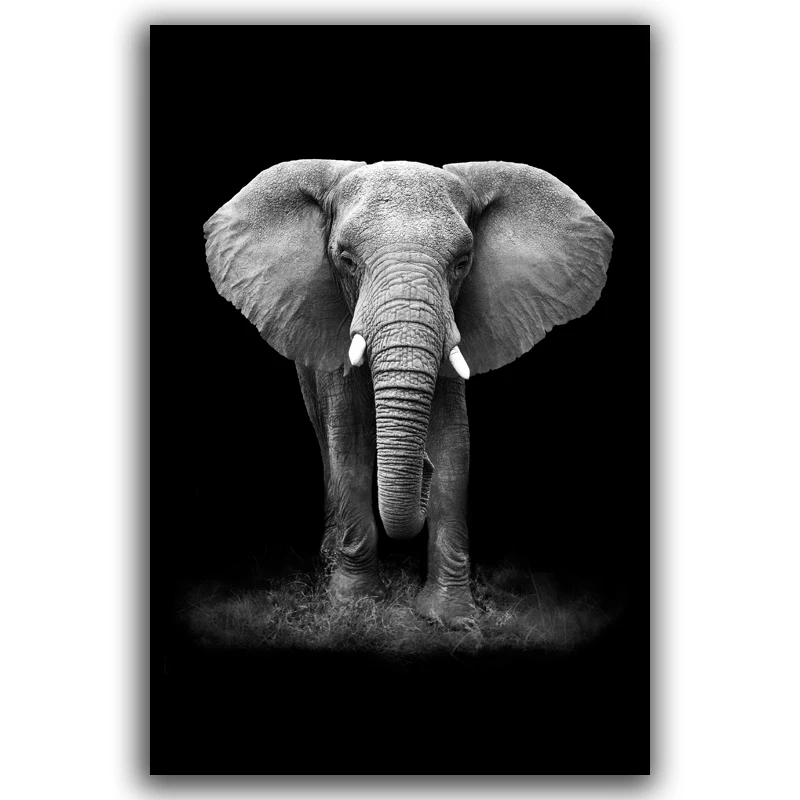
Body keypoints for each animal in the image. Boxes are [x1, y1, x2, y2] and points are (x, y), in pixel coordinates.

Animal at [204, 159, 613, 625]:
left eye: (462, 262)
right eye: (346, 260)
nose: (423, 468)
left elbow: (454, 446)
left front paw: (451, 617)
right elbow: (350, 443)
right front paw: (354, 605)